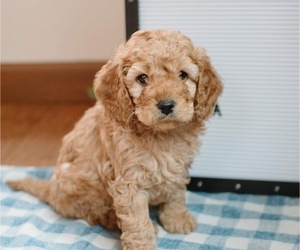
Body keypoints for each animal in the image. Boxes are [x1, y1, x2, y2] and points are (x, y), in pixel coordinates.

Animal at [7, 29, 223, 250]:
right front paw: (143, 245)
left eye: (183, 75)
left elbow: (177, 193)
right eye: (142, 78)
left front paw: (177, 219)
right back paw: (118, 220)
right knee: (95, 212)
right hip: (76, 185)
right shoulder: (129, 182)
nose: (166, 105)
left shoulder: (179, 167)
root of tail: (50, 190)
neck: (162, 135)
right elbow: (137, 220)